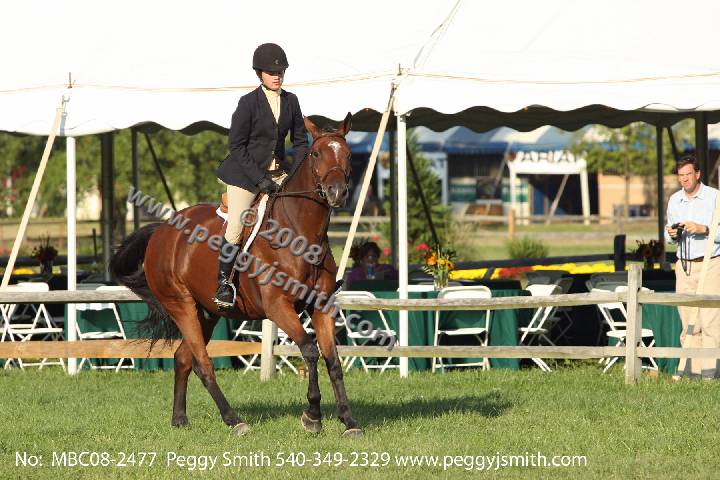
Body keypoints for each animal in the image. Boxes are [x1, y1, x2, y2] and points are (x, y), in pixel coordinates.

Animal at [110, 113, 362, 437]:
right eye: (316, 154)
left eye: (348, 154)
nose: (337, 193)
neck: (301, 235)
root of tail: (162, 230)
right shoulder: (278, 307)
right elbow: (309, 350)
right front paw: (313, 416)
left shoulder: (322, 307)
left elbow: (333, 360)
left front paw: (348, 420)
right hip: (182, 306)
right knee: (202, 364)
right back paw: (234, 420)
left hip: (207, 312)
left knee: (183, 359)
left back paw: (179, 418)